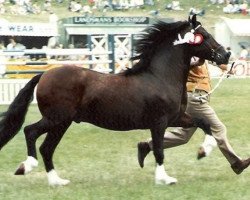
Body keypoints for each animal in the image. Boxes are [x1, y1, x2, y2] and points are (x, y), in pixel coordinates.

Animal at [0, 15, 230, 186]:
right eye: (203, 35)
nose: (225, 55)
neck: (160, 77)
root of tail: (44, 74)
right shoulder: (159, 122)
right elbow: (159, 150)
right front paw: (165, 179)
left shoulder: (177, 117)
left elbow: (204, 123)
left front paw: (204, 150)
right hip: (56, 119)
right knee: (30, 132)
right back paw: (27, 167)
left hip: (62, 123)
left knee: (46, 148)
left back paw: (57, 182)